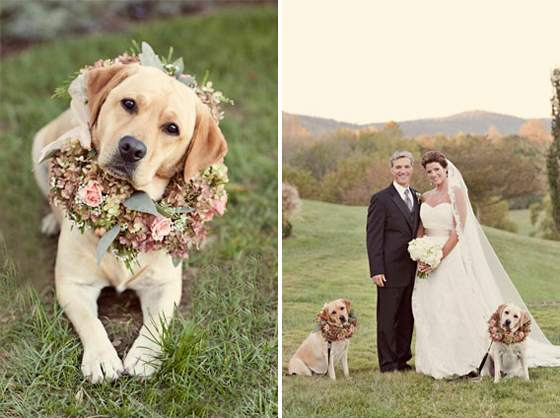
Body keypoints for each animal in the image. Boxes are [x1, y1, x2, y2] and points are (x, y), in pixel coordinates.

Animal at [30, 63, 226, 384]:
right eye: (129, 104)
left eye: (172, 128)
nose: (131, 148)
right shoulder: (73, 284)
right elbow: (91, 320)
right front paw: (101, 357)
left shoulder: (165, 285)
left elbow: (158, 322)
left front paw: (144, 355)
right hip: (39, 145)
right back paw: (50, 220)